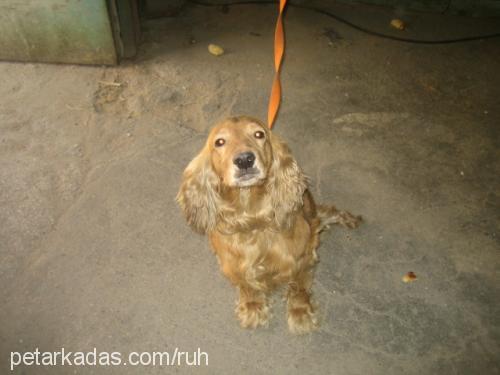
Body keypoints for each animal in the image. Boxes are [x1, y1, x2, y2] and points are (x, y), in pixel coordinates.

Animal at [176, 116, 360, 334]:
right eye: (219, 142)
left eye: (259, 134)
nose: (244, 159)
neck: (252, 220)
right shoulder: (232, 263)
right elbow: (247, 285)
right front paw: (252, 307)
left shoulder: (302, 258)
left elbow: (299, 287)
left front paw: (300, 313)